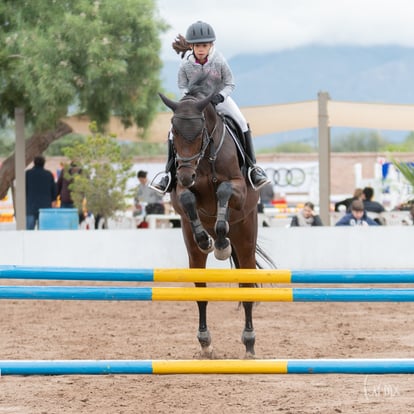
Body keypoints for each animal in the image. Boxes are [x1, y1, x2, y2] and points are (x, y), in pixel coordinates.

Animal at [158, 81, 272, 360]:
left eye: (199, 133)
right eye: (174, 133)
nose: (185, 175)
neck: (206, 157)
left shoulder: (238, 190)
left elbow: (223, 192)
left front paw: (220, 245)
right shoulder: (180, 193)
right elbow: (187, 198)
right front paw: (206, 240)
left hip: (245, 235)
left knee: (246, 285)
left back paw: (249, 343)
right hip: (192, 251)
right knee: (201, 288)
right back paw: (205, 342)